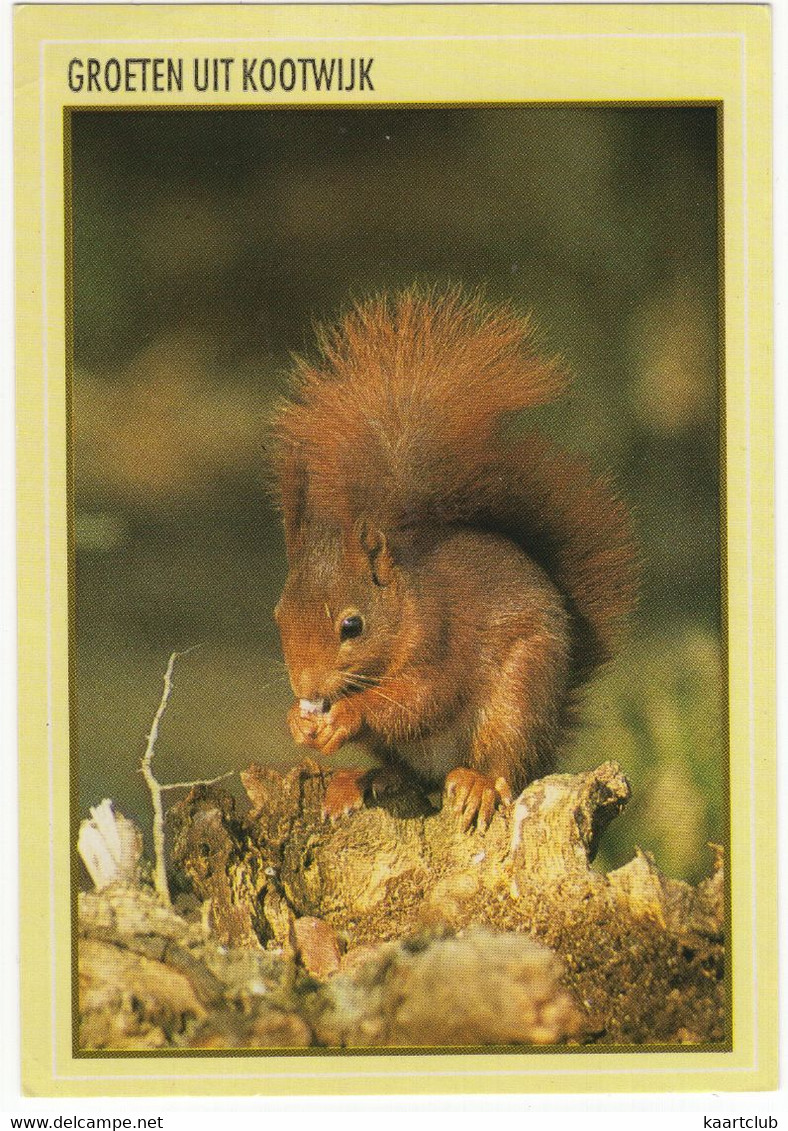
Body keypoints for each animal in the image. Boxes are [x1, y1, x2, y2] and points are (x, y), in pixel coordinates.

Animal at [269, 287, 633, 827]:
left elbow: (423, 699)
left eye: (352, 626)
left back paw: (478, 784)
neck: (406, 607)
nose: (308, 689)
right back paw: (359, 780)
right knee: (406, 772)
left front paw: (348, 714)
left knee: (505, 766)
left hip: (520, 698)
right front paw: (299, 721)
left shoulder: (443, 640)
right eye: (279, 617)